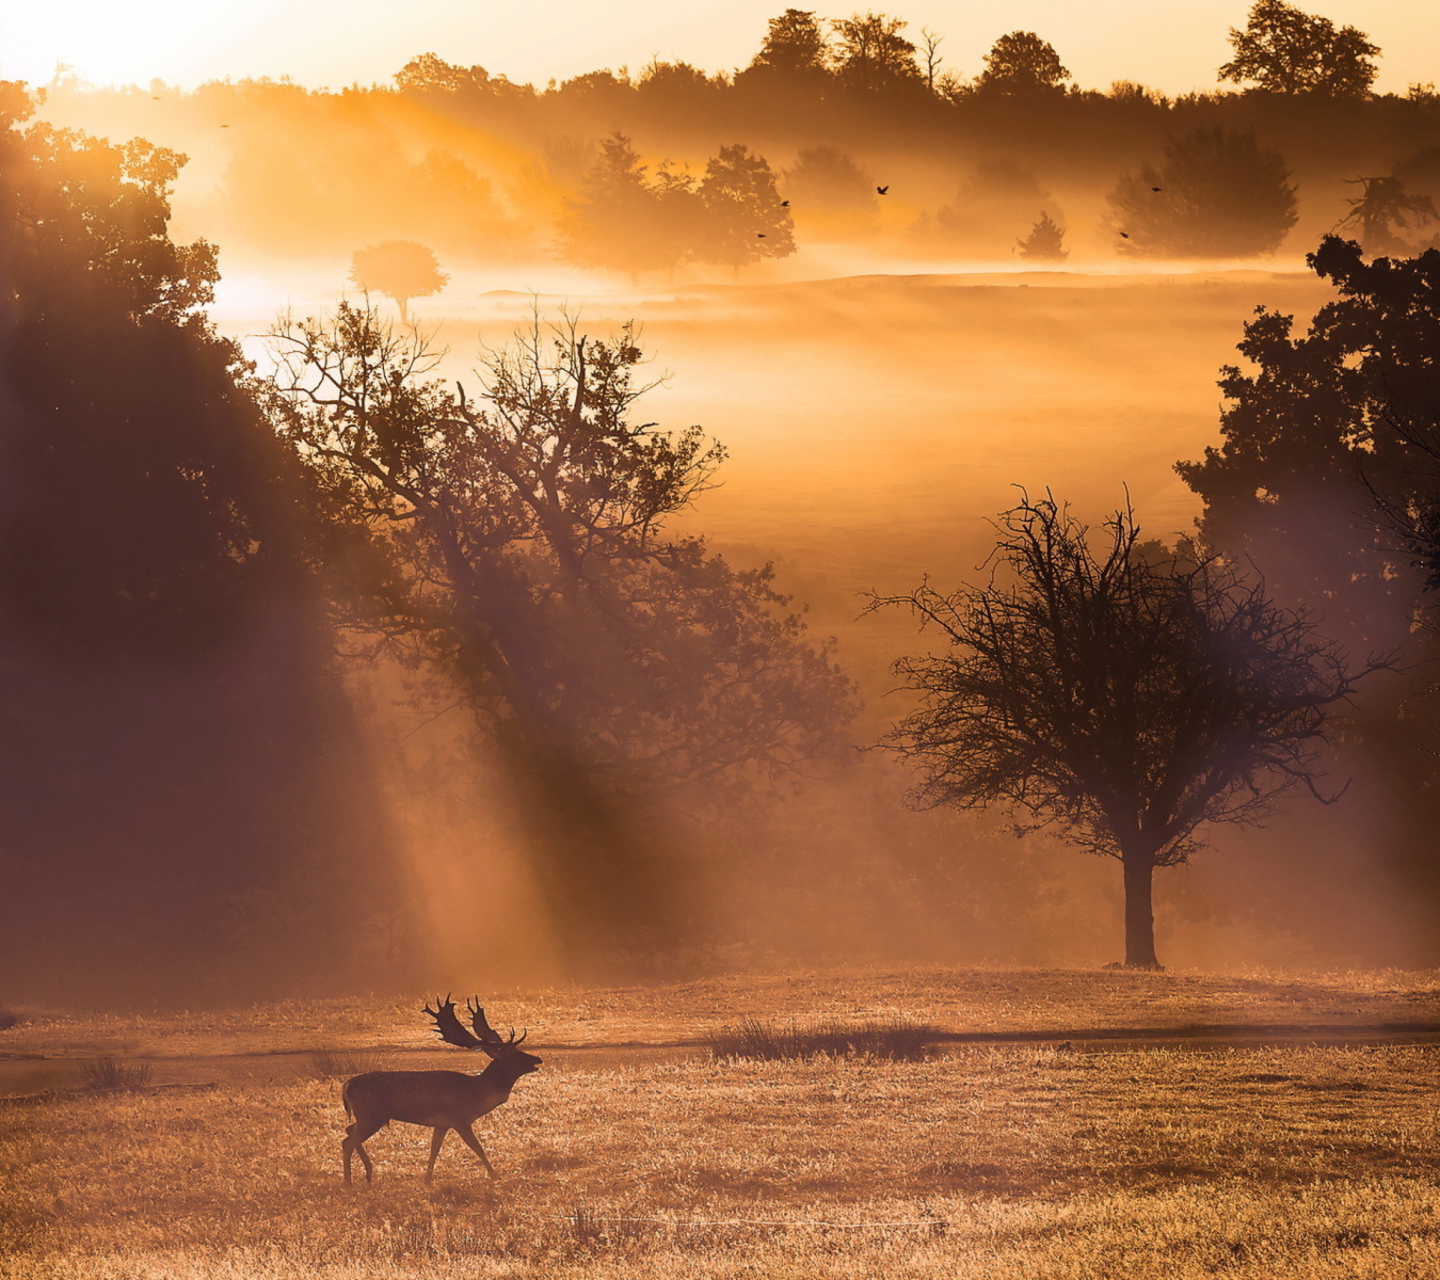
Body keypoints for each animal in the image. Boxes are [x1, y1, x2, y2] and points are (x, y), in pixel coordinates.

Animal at [339, 996, 541, 1186]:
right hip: (371, 1115)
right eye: (513, 1054)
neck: (477, 1093)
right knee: (347, 1141)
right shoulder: (459, 1118)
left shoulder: (442, 1124)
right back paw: (348, 1182)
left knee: (349, 1130)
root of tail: (347, 1085)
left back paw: (368, 1173)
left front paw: (427, 1180)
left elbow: (434, 1148)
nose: (538, 1059)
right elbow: (476, 1147)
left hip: (368, 1116)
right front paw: (494, 1175)